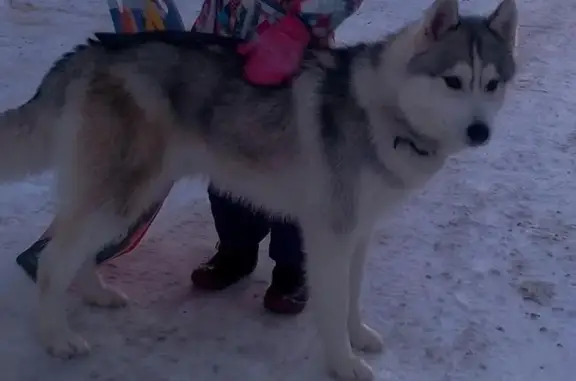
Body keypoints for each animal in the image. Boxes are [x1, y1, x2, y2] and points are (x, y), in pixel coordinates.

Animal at [0, 0, 516, 378]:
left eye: (491, 84)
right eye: (453, 81)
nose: (480, 132)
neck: (386, 112)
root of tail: (93, 48)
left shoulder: (358, 232)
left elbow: (351, 299)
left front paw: (358, 336)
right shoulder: (330, 235)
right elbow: (332, 307)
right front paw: (343, 363)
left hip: (130, 194)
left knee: (74, 249)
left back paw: (96, 294)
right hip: (124, 191)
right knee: (53, 258)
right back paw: (56, 338)